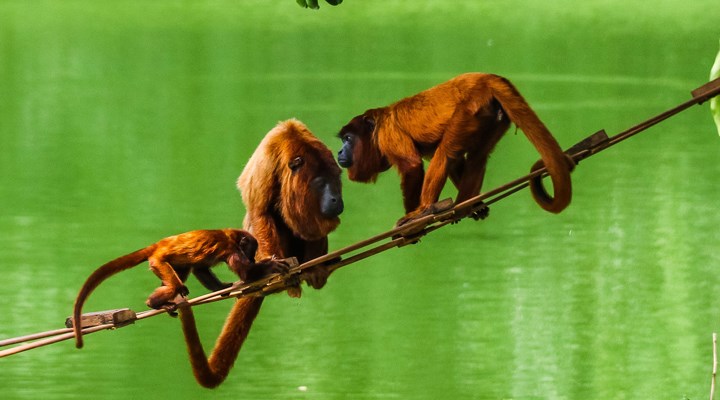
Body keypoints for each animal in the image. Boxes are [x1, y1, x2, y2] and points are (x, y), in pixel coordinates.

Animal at [71, 230, 286, 348]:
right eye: (250, 252)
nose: (252, 258)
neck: (232, 235)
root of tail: (157, 245)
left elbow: (200, 269)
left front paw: (224, 287)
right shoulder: (231, 248)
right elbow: (246, 273)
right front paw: (269, 266)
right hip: (158, 260)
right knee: (176, 285)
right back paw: (155, 303)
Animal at [176, 119, 342, 388]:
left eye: (336, 180)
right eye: (319, 182)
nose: (336, 198)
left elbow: (313, 228)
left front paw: (316, 268)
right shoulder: (267, 162)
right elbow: (261, 212)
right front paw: (276, 269)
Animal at [338, 72, 572, 225]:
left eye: (348, 139)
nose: (340, 152)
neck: (376, 125)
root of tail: (485, 78)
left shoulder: (387, 133)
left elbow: (412, 165)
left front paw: (413, 218)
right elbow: (457, 163)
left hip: (469, 109)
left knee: (446, 152)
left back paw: (425, 210)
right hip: (493, 116)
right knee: (477, 156)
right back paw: (466, 204)